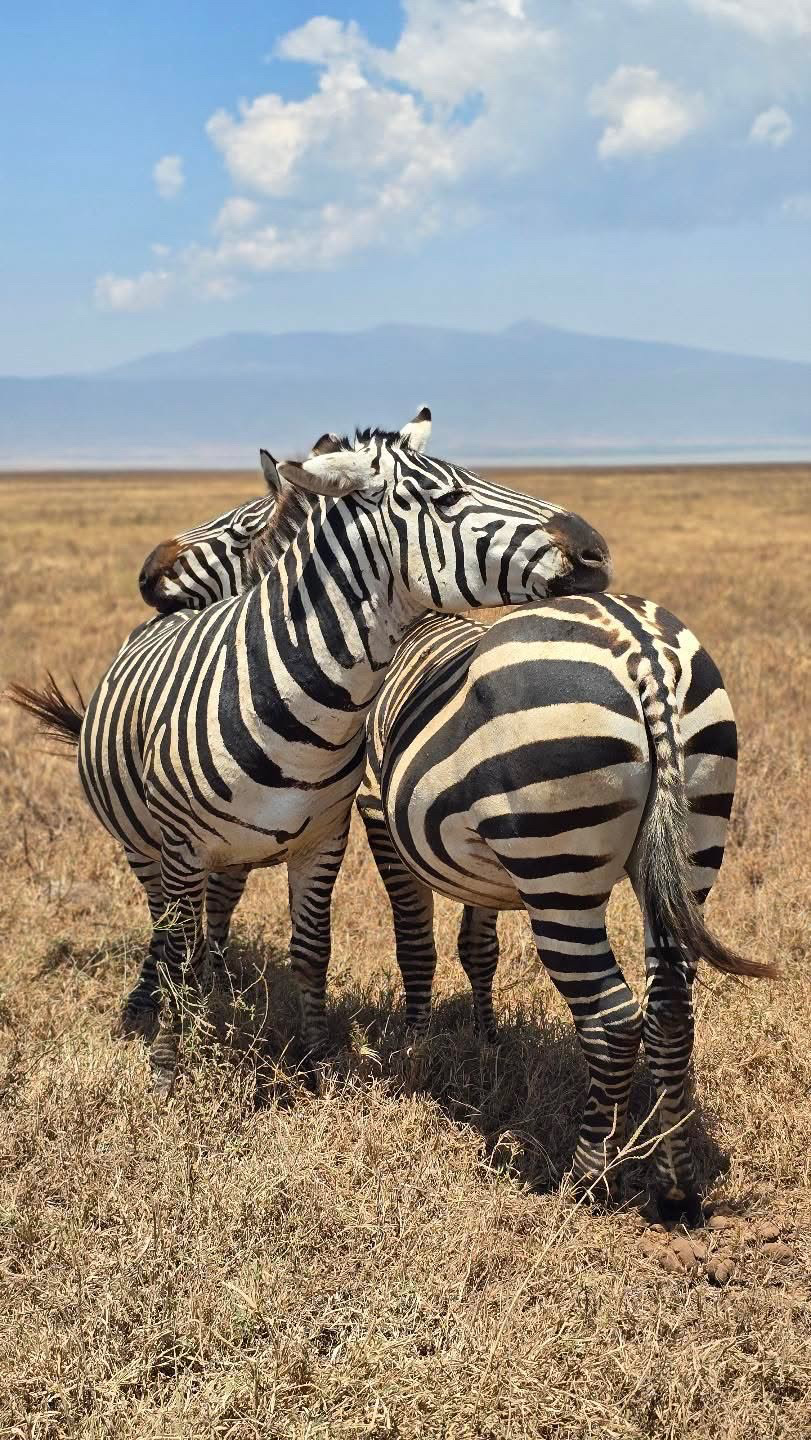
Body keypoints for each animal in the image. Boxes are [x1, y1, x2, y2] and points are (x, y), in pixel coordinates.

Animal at [8, 422, 611, 1089]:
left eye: (242, 530)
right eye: (447, 497)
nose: (596, 550)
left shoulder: (324, 838)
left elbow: (312, 949)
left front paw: (316, 1062)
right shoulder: (185, 845)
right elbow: (177, 952)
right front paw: (167, 1071)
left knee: (210, 915)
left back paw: (216, 990)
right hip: (142, 845)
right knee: (162, 926)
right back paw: (153, 1004)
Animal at [355, 595, 777, 1220]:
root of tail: (642, 651)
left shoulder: (376, 813)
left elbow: (415, 946)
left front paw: (413, 1054)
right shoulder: (485, 868)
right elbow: (478, 948)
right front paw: (488, 1044)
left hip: (556, 865)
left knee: (613, 1018)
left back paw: (584, 1179)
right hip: (692, 836)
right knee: (670, 1005)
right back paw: (675, 1181)